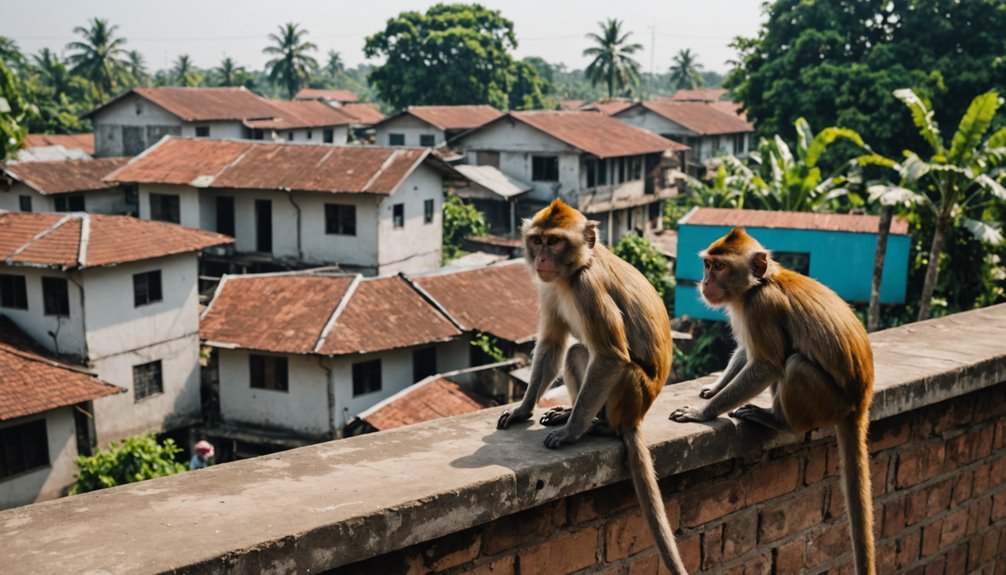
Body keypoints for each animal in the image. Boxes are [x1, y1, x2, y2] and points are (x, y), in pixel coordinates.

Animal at [496, 200, 688, 570]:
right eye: (538, 241)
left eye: (555, 242)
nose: (542, 259)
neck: (573, 273)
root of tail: (636, 417)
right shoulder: (549, 287)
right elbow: (553, 344)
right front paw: (523, 409)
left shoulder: (589, 288)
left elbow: (612, 355)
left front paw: (570, 433)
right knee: (577, 352)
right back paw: (576, 415)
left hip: (633, 392)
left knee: (614, 364)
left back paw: (599, 427)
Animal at [672, 228, 877, 575]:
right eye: (708, 265)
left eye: (720, 267)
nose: (705, 282)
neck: (759, 285)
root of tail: (861, 401)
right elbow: (747, 353)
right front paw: (713, 389)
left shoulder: (761, 308)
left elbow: (766, 365)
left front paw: (703, 413)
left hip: (827, 400)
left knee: (792, 363)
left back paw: (776, 419)